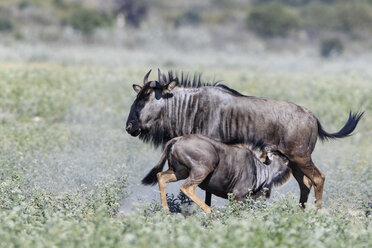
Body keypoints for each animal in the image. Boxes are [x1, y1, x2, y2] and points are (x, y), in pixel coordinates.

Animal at [142, 134, 290, 213]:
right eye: (281, 156)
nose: (288, 159)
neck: (259, 169)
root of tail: (177, 139)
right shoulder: (238, 196)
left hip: (181, 172)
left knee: (161, 177)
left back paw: (166, 211)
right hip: (202, 169)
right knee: (186, 187)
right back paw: (211, 211)